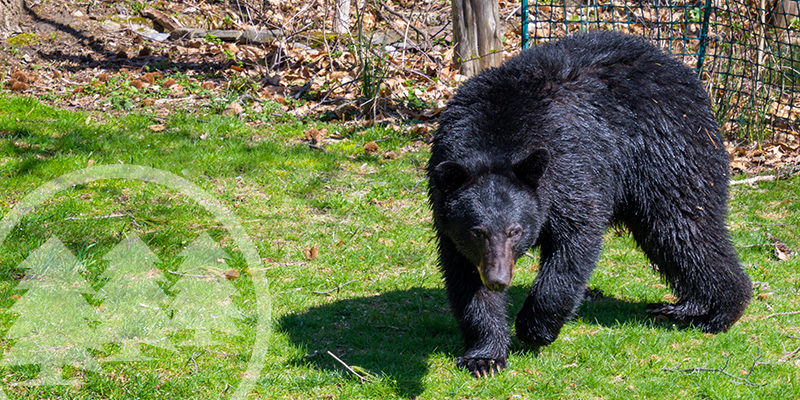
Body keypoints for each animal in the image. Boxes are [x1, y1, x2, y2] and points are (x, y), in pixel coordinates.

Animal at [427, 31, 752, 378]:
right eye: (477, 231)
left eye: (516, 231)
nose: (498, 279)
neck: (496, 134)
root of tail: (682, 69)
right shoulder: (447, 209)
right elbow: (464, 276)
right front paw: (484, 356)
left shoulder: (569, 169)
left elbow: (574, 242)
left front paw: (534, 328)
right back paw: (689, 306)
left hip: (669, 155)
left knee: (684, 229)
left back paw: (719, 311)